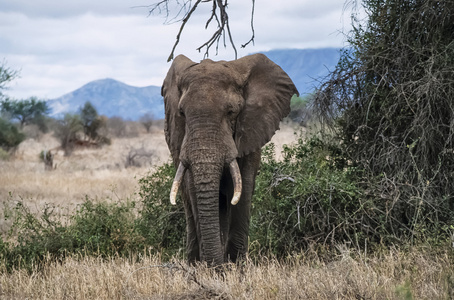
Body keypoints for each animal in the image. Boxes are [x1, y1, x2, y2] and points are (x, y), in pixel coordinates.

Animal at [162, 52, 298, 266]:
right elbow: (194, 189)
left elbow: (243, 188)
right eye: (182, 113)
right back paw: (194, 262)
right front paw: (211, 267)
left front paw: (236, 266)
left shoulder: (251, 131)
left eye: (231, 112)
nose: (217, 266)